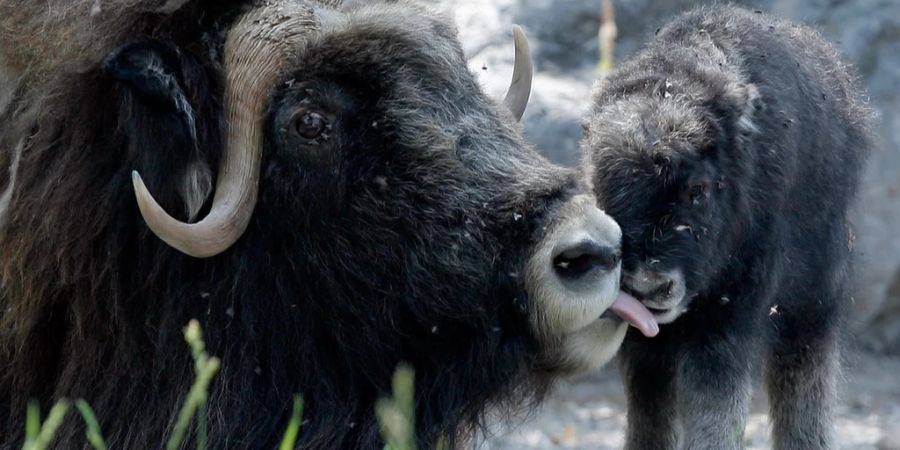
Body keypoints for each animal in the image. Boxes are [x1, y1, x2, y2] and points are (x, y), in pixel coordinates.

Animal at [584, 4, 872, 450]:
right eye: (600, 189)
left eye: (698, 189)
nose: (648, 287)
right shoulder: (644, 341)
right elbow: (651, 411)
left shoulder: (728, 317)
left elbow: (716, 404)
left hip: (812, 302)